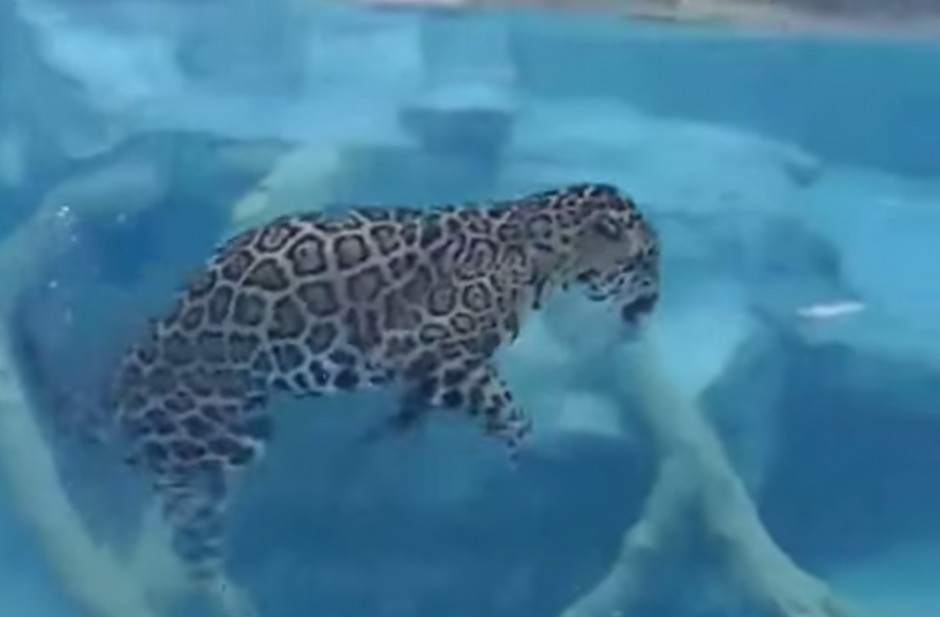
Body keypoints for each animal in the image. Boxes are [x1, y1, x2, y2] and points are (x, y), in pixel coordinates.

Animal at [105, 182, 660, 607]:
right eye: (647, 259)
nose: (654, 302)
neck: (542, 249)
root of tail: (132, 360)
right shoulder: (430, 346)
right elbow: (506, 405)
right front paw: (517, 453)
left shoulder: (433, 367)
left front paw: (398, 431)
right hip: (222, 437)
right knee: (188, 520)